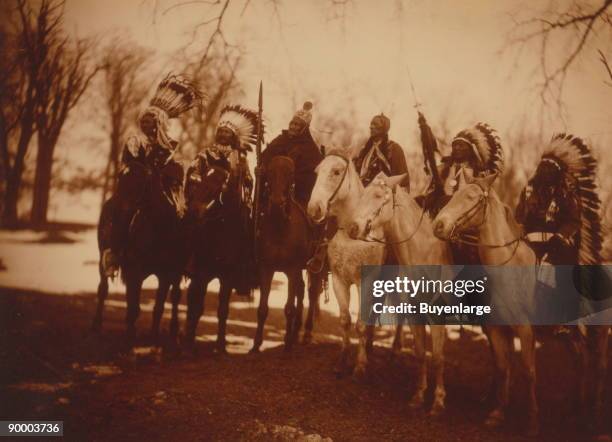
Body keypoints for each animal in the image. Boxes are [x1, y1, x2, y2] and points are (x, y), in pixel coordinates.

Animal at [92, 161, 186, 344]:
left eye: (140, 181)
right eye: (121, 178)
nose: (117, 211)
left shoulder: (166, 274)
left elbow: (158, 306)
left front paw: (153, 337)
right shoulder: (134, 273)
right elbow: (133, 307)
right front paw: (130, 335)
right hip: (102, 261)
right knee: (103, 289)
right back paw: (96, 325)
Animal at [251, 155, 322, 352]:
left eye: (291, 174)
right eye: (269, 172)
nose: (276, 203)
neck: (280, 228)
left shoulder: (292, 269)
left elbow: (289, 307)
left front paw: (288, 344)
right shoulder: (266, 269)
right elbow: (262, 308)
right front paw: (256, 344)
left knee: (312, 292)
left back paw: (306, 333)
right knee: (301, 289)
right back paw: (296, 331)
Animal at [308, 148, 384, 376]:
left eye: (336, 171)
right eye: (317, 172)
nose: (313, 209)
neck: (352, 234)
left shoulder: (364, 284)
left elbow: (360, 323)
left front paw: (360, 364)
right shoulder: (339, 281)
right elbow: (345, 320)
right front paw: (342, 361)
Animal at [346, 171, 452, 416]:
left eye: (378, 195)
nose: (353, 228)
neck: (423, 256)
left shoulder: (437, 317)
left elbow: (438, 358)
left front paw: (438, 402)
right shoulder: (414, 315)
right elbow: (421, 354)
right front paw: (419, 396)